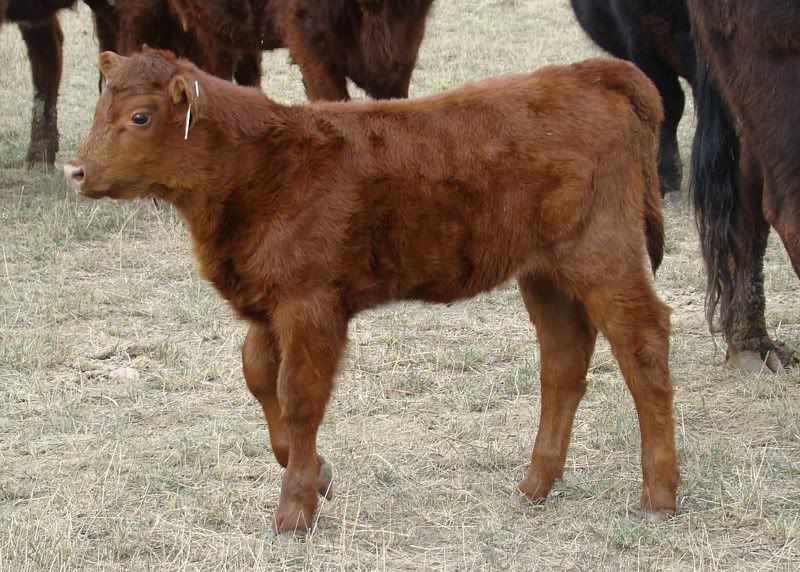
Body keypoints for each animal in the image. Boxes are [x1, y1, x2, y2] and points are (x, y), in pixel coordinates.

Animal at [65, 49, 679, 535]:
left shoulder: (310, 305)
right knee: (563, 360)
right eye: (98, 110)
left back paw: (659, 495)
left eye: (140, 116)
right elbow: (259, 377)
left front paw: (294, 512)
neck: (263, 165)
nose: (75, 170)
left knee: (643, 345)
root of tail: (585, 72)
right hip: (545, 274)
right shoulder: (270, 305)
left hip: (603, 256)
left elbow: (299, 396)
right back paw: (535, 484)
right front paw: (318, 476)